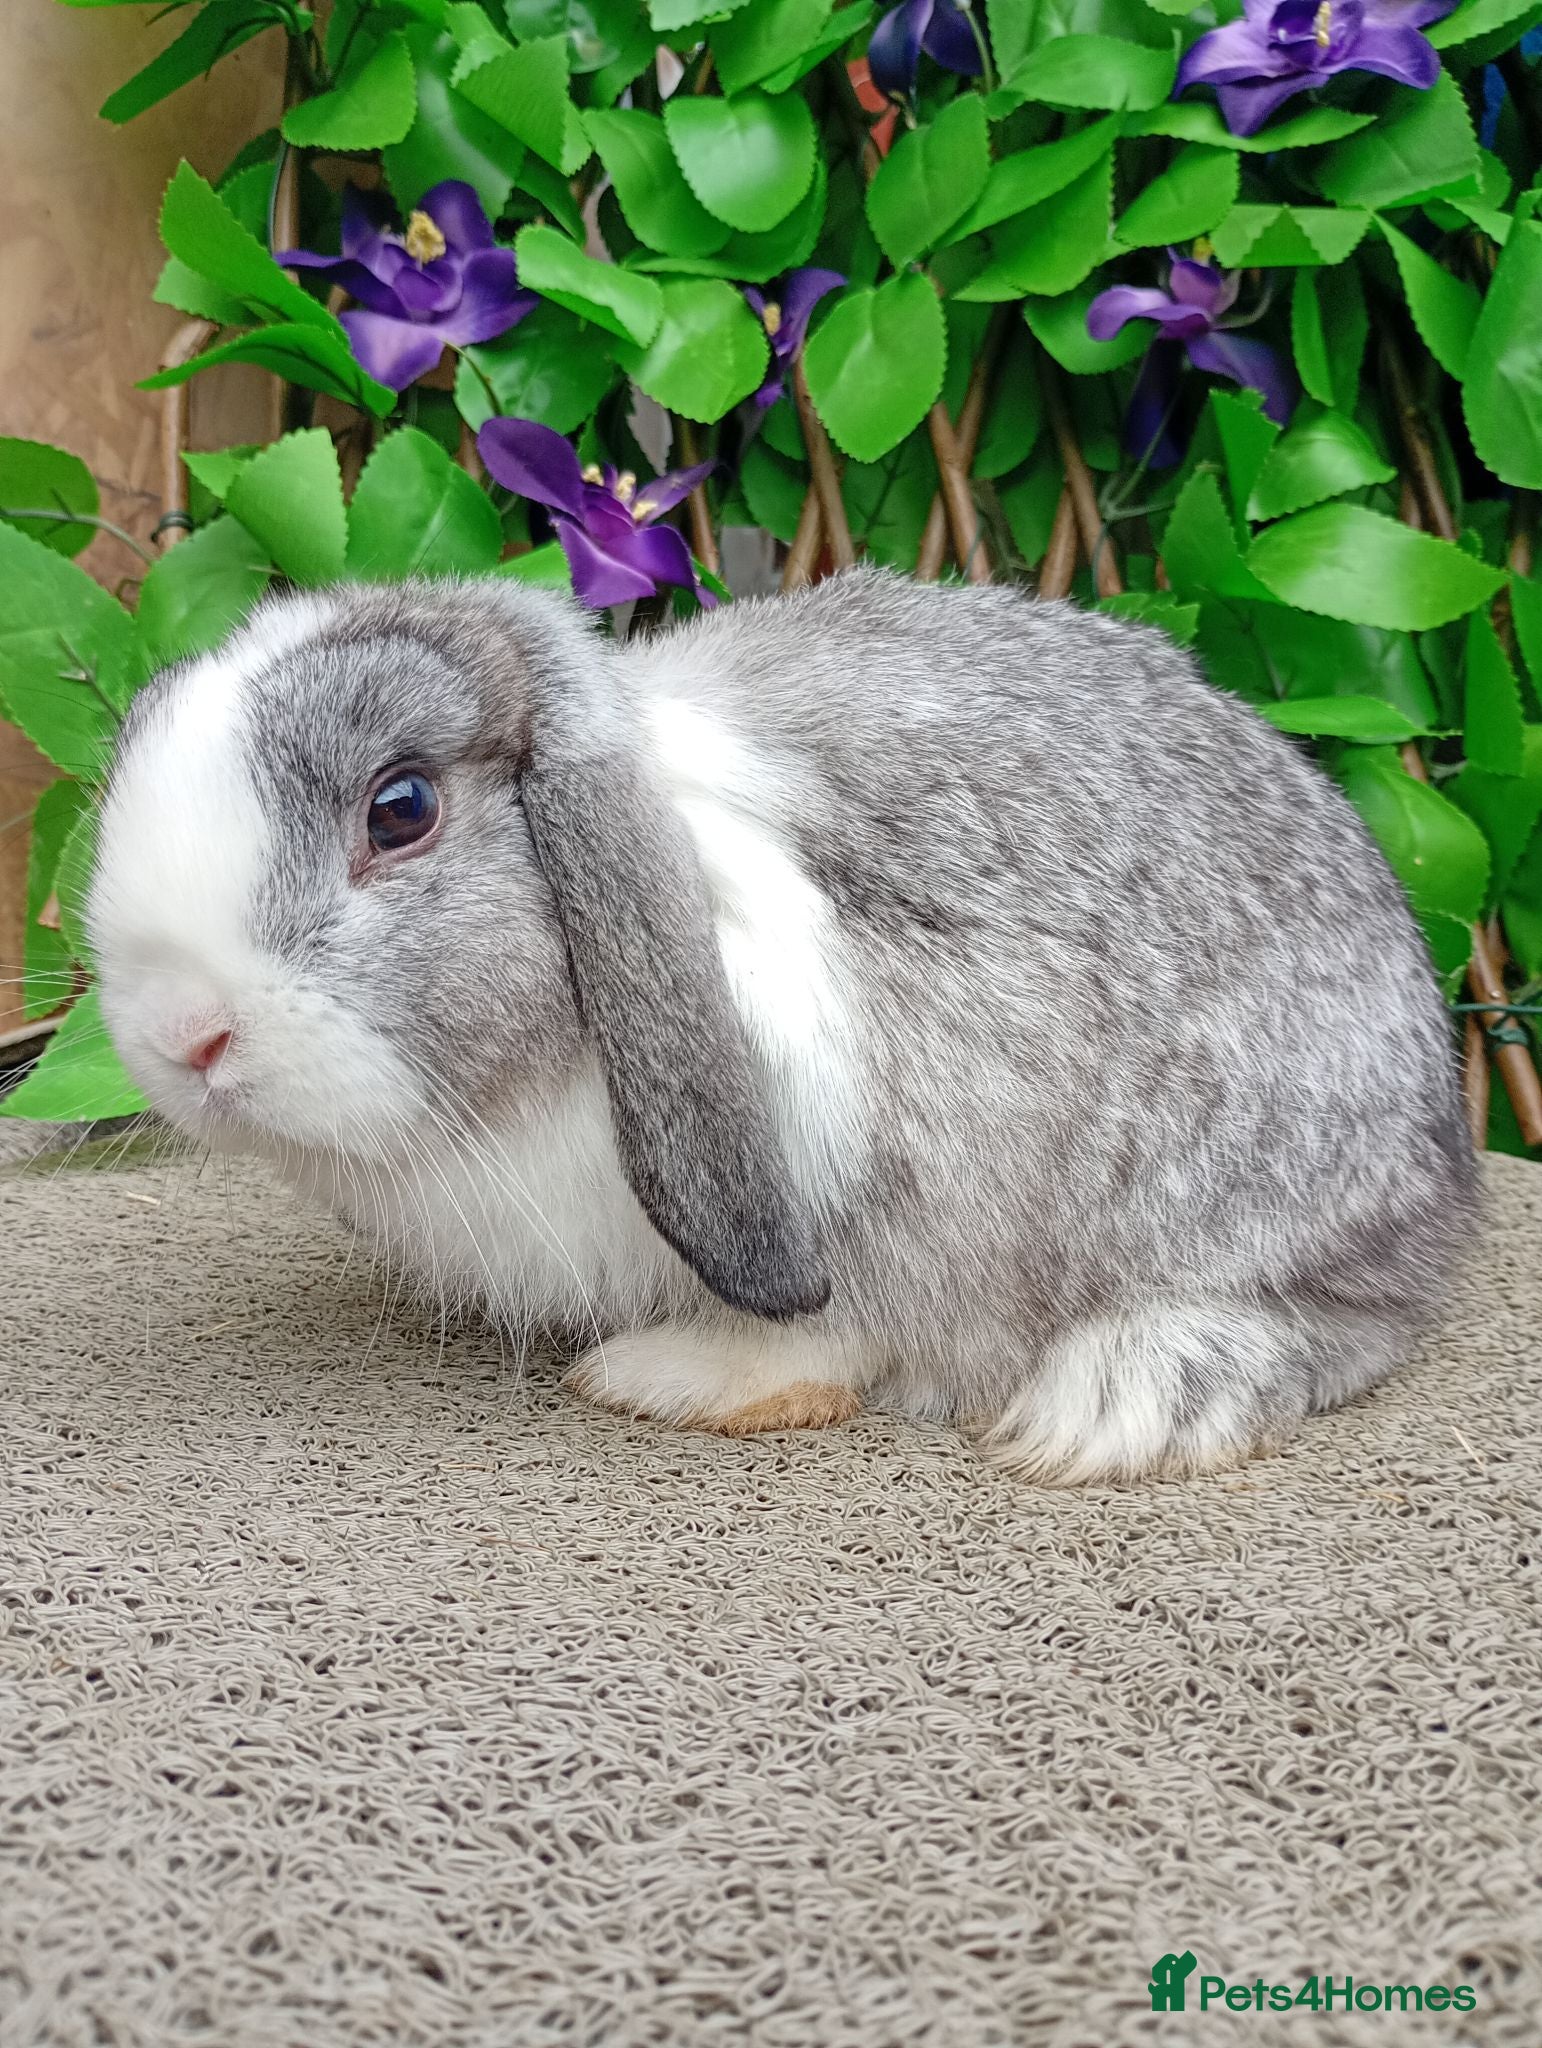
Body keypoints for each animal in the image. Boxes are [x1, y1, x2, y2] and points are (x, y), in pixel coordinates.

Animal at [87, 566, 1477, 1482]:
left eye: (402, 807)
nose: (184, 1034)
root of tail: (1445, 1152)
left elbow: (832, 1323)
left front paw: (668, 1377)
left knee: (1353, 1317)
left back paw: (1125, 1399)